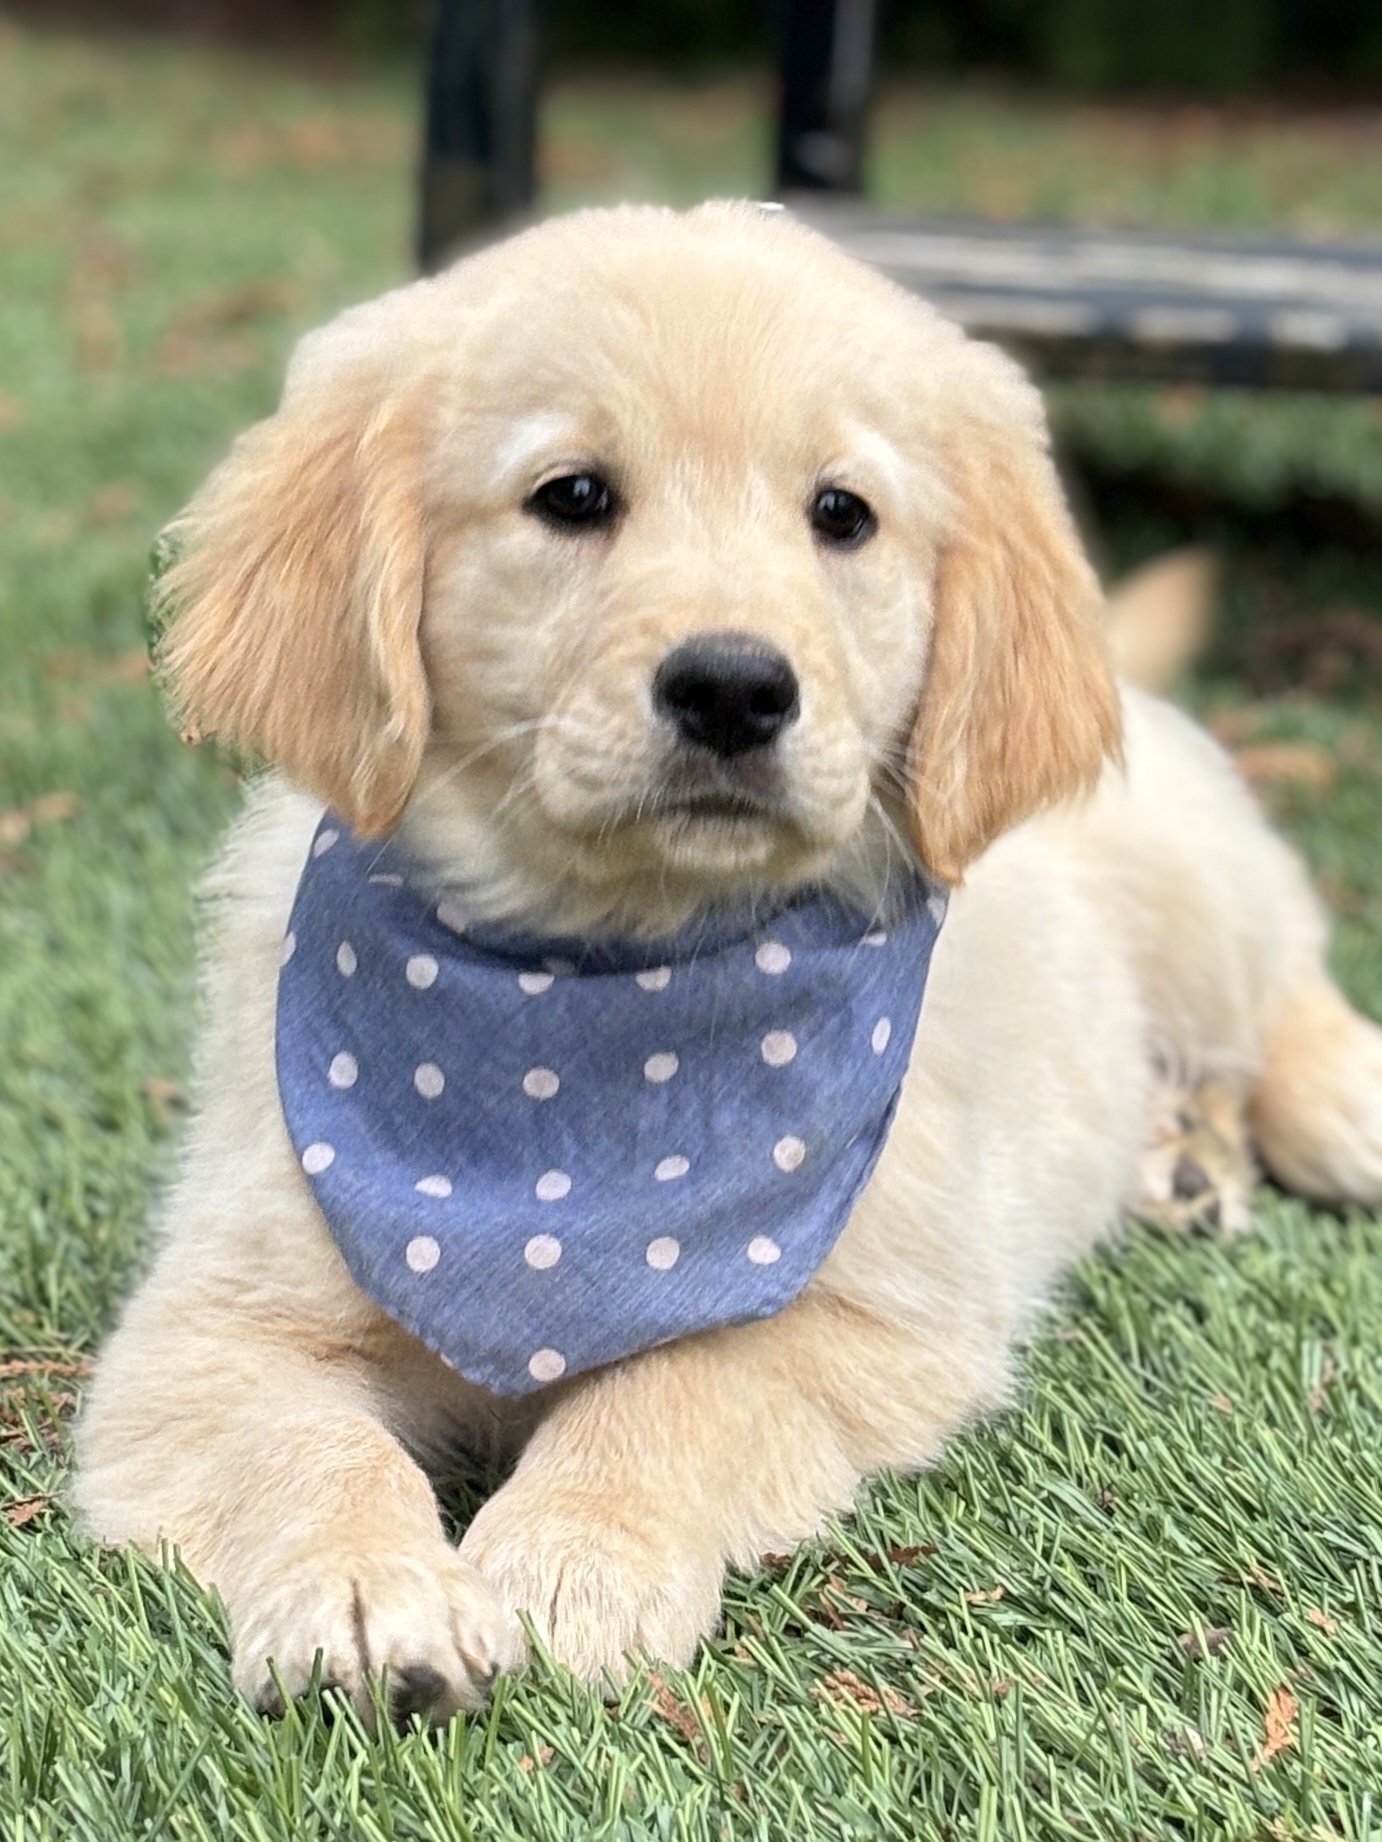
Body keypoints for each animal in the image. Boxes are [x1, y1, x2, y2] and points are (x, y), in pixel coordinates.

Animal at [73, 201, 1382, 1724]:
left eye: (841, 514)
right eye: (573, 495)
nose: (734, 688)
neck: (596, 995)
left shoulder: (869, 1315)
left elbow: (669, 1392)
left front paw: (571, 1553)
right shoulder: (208, 1328)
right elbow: (309, 1448)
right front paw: (363, 1596)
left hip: (1189, 877)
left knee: (1281, 978)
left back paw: (1335, 1103)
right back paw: (1175, 1160)